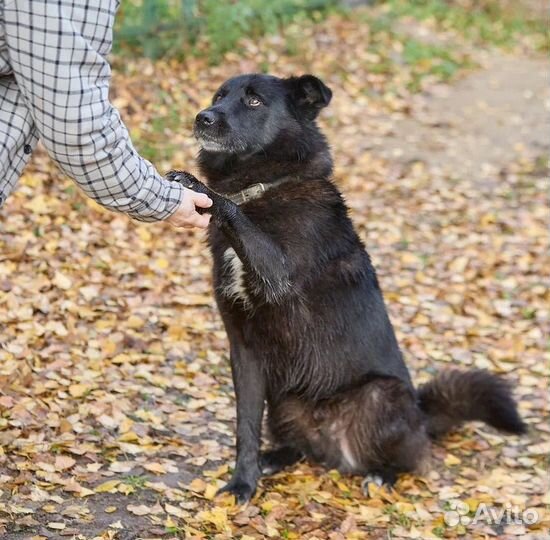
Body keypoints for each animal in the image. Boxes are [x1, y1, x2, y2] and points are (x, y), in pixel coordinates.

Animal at [167, 74, 528, 504]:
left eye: (254, 101)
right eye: (219, 95)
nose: (203, 117)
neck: (262, 188)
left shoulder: (277, 273)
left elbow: (231, 209)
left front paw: (197, 186)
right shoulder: (244, 349)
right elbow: (245, 425)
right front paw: (244, 480)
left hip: (381, 397)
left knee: (412, 460)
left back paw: (382, 475)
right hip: (284, 399)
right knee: (300, 447)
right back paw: (277, 457)